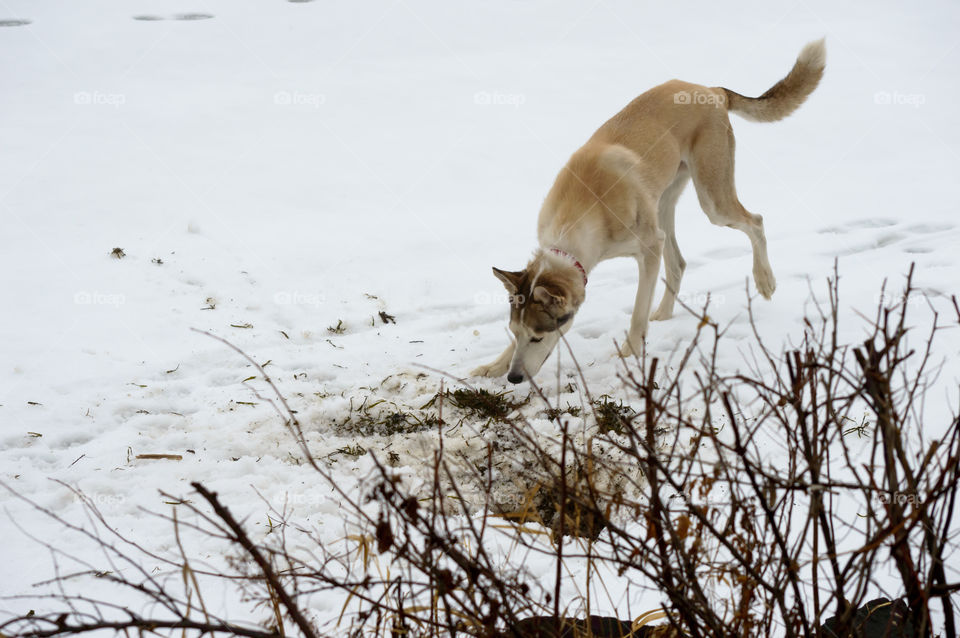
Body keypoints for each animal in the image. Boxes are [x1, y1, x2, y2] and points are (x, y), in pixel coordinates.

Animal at [472, 40, 824, 384]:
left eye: (537, 337)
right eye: (515, 333)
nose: (514, 378)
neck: (582, 213)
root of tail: (711, 90)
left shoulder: (649, 248)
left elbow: (639, 311)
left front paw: (629, 352)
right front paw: (493, 366)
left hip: (712, 202)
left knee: (756, 222)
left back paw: (764, 280)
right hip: (664, 203)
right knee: (679, 263)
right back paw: (665, 314)